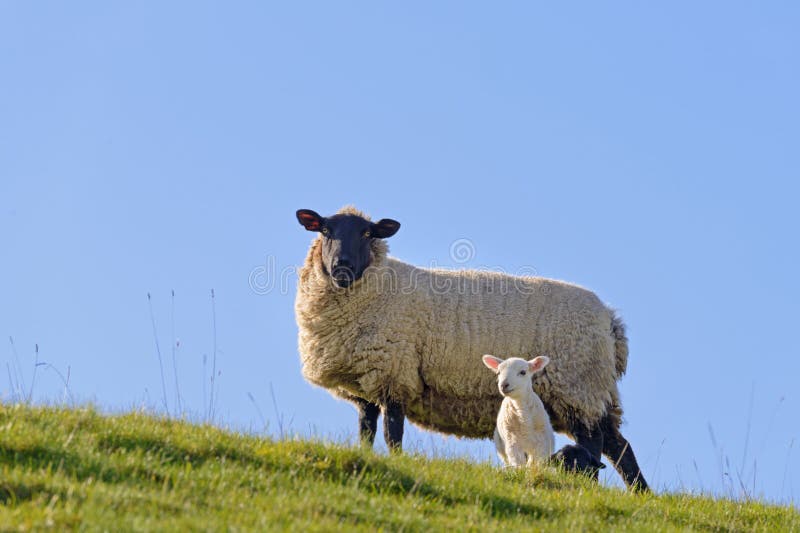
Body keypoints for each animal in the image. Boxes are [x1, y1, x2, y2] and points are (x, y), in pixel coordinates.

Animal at [294, 206, 648, 488]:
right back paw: (641, 494)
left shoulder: (395, 373)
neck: (380, 287)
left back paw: (594, 485)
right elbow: (365, 431)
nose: (342, 267)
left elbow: (392, 432)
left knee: (595, 443)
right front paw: (369, 458)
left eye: (367, 233)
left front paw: (395, 461)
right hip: (591, 392)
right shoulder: (365, 381)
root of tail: (611, 321)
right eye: (325, 230)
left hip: (577, 386)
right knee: (620, 448)